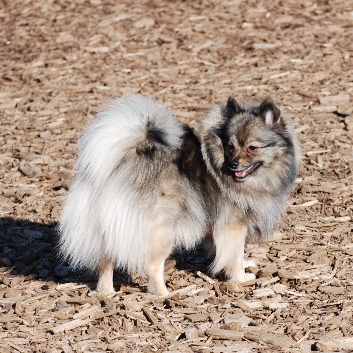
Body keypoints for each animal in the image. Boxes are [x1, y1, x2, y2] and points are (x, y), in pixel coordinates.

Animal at [57, 93, 300, 294]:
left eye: (252, 148)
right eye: (230, 146)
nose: (232, 164)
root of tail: (118, 165)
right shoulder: (234, 226)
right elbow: (235, 254)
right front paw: (241, 277)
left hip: (109, 229)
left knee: (105, 261)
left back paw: (106, 293)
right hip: (163, 231)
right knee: (151, 266)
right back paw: (165, 294)